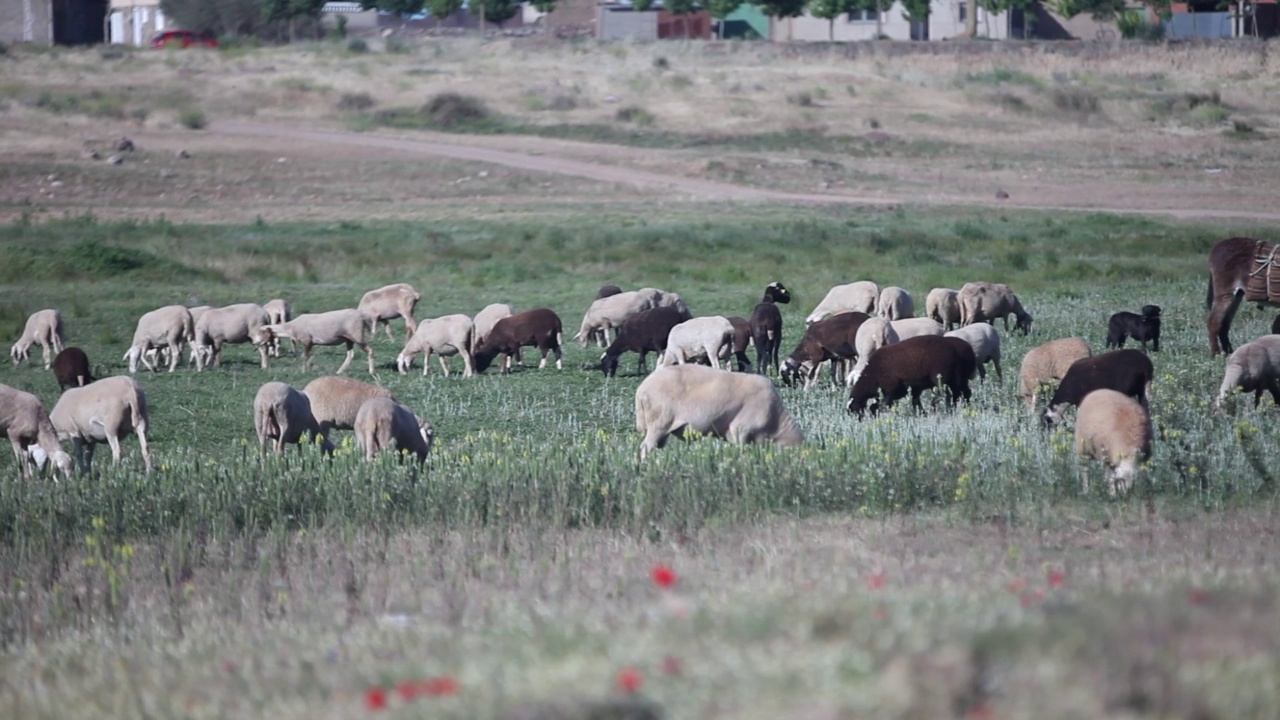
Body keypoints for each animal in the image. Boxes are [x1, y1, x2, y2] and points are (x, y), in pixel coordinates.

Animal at [632, 363, 798, 458]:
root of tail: (641, 389)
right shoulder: (741, 428)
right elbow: (742, 450)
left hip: (663, 428)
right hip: (658, 423)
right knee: (645, 448)